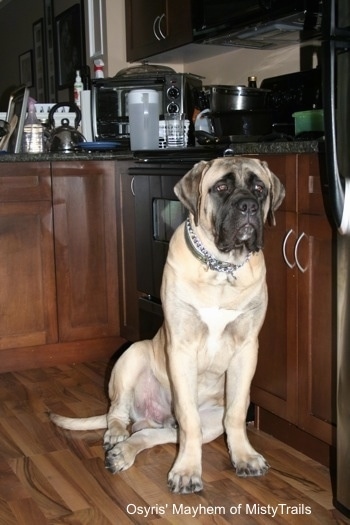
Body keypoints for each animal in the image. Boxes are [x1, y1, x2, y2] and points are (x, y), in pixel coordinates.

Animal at [50, 155, 284, 492]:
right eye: (221, 188)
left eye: (259, 189)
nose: (248, 207)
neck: (221, 267)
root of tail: (152, 415)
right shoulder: (182, 349)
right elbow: (188, 419)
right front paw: (187, 471)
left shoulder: (246, 349)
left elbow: (237, 412)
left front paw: (244, 456)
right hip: (133, 354)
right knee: (118, 411)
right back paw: (116, 437)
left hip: (208, 420)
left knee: (154, 433)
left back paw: (123, 453)